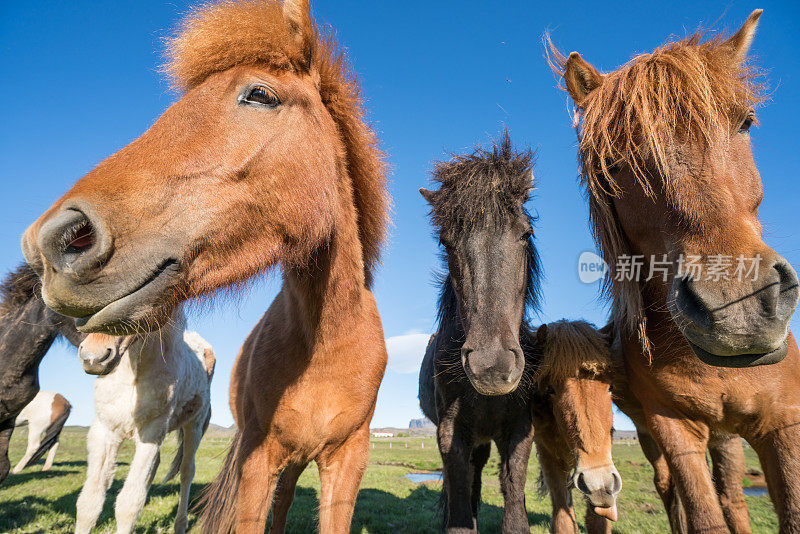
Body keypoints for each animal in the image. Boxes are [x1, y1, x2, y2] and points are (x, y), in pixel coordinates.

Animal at [73, 312, 212, 534]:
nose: (93, 357)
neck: (132, 376)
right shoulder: (104, 430)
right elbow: (89, 501)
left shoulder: (151, 432)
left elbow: (128, 506)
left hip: (194, 427)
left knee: (186, 472)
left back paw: (180, 525)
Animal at [418, 135, 544, 534]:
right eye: (445, 242)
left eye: (526, 233)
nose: (492, 367)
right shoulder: (451, 434)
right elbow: (460, 508)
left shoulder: (520, 431)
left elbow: (514, 503)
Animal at [552, 9, 800, 534]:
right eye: (613, 162)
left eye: (746, 123)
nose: (737, 310)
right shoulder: (673, 430)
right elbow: (702, 513)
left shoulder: (784, 424)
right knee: (673, 491)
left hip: (727, 435)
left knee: (734, 496)